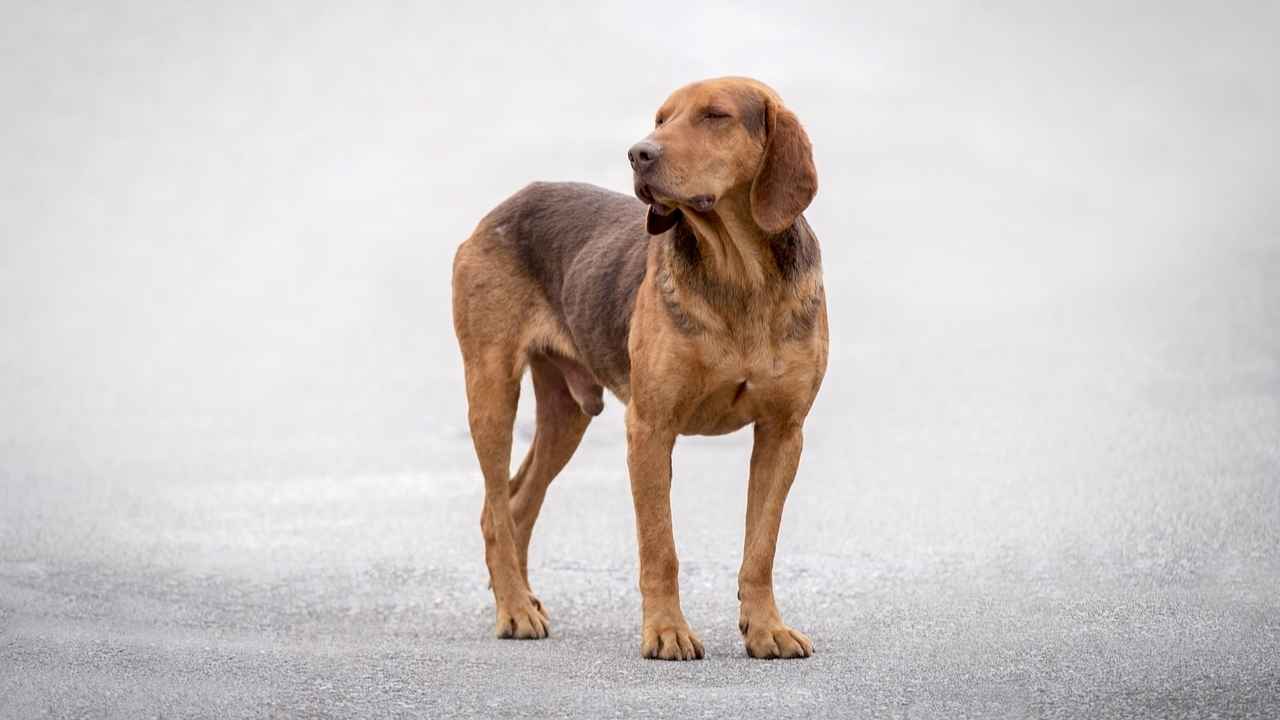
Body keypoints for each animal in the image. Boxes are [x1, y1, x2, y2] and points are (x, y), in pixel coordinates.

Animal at [455, 77, 824, 655]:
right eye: (661, 118)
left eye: (715, 115)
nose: (638, 153)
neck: (740, 275)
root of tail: (506, 205)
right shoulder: (651, 429)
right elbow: (660, 547)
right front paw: (667, 632)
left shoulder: (783, 432)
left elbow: (760, 549)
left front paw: (767, 629)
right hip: (492, 395)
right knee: (495, 511)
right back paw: (514, 609)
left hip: (568, 413)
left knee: (515, 506)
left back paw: (523, 599)